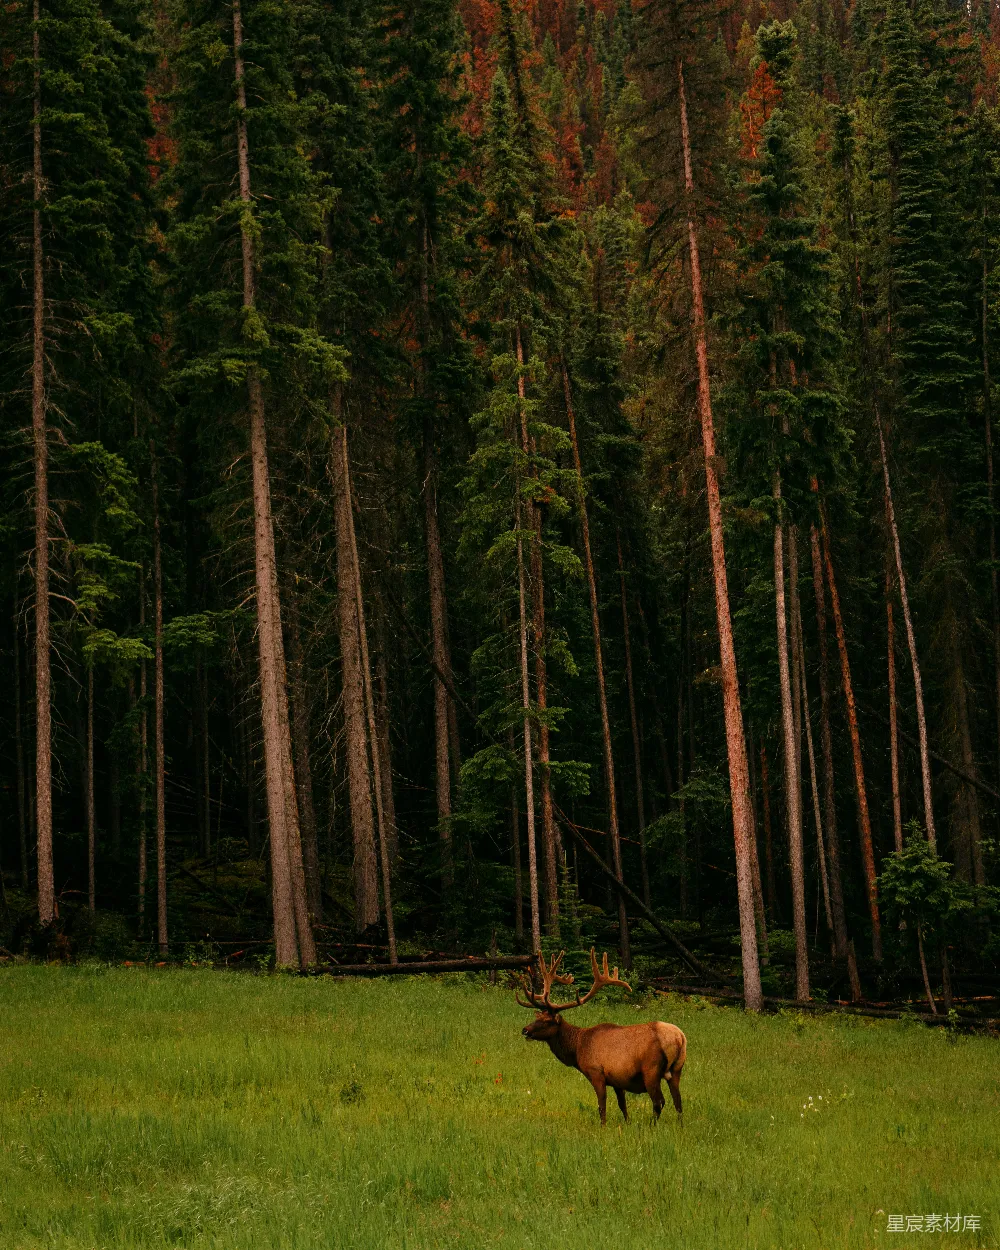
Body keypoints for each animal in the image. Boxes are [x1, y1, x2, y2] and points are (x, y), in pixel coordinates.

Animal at [516, 948, 686, 1125]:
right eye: (538, 1016)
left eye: (546, 1021)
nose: (525, 1030)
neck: (577, 1048)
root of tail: (679, 1038)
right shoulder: (618, 1080)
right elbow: (622, 1105)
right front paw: (627, 1123)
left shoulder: (596, 1072)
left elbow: (601, 1105)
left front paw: (603, 1126)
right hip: (677, 1069)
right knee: (678, 1102)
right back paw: (680, 1126)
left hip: (651, 1069)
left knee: (659, 1101)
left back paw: (652, 1126)